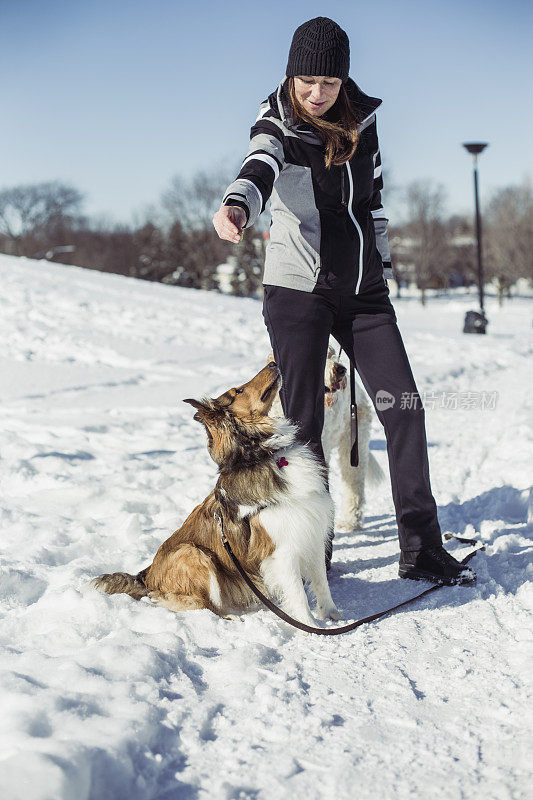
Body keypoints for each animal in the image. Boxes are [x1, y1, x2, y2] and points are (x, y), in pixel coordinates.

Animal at [91, 364, 340, 632]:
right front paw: (311, 628)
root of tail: (146, 576)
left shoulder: (312, 534)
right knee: (191, 603)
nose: (273, 364)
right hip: (194, 554)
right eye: (238, 390)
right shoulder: (280, 550)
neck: (258, 454)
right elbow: (298, 594)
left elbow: (322, 583)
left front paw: (334, 616)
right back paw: (230, 616)